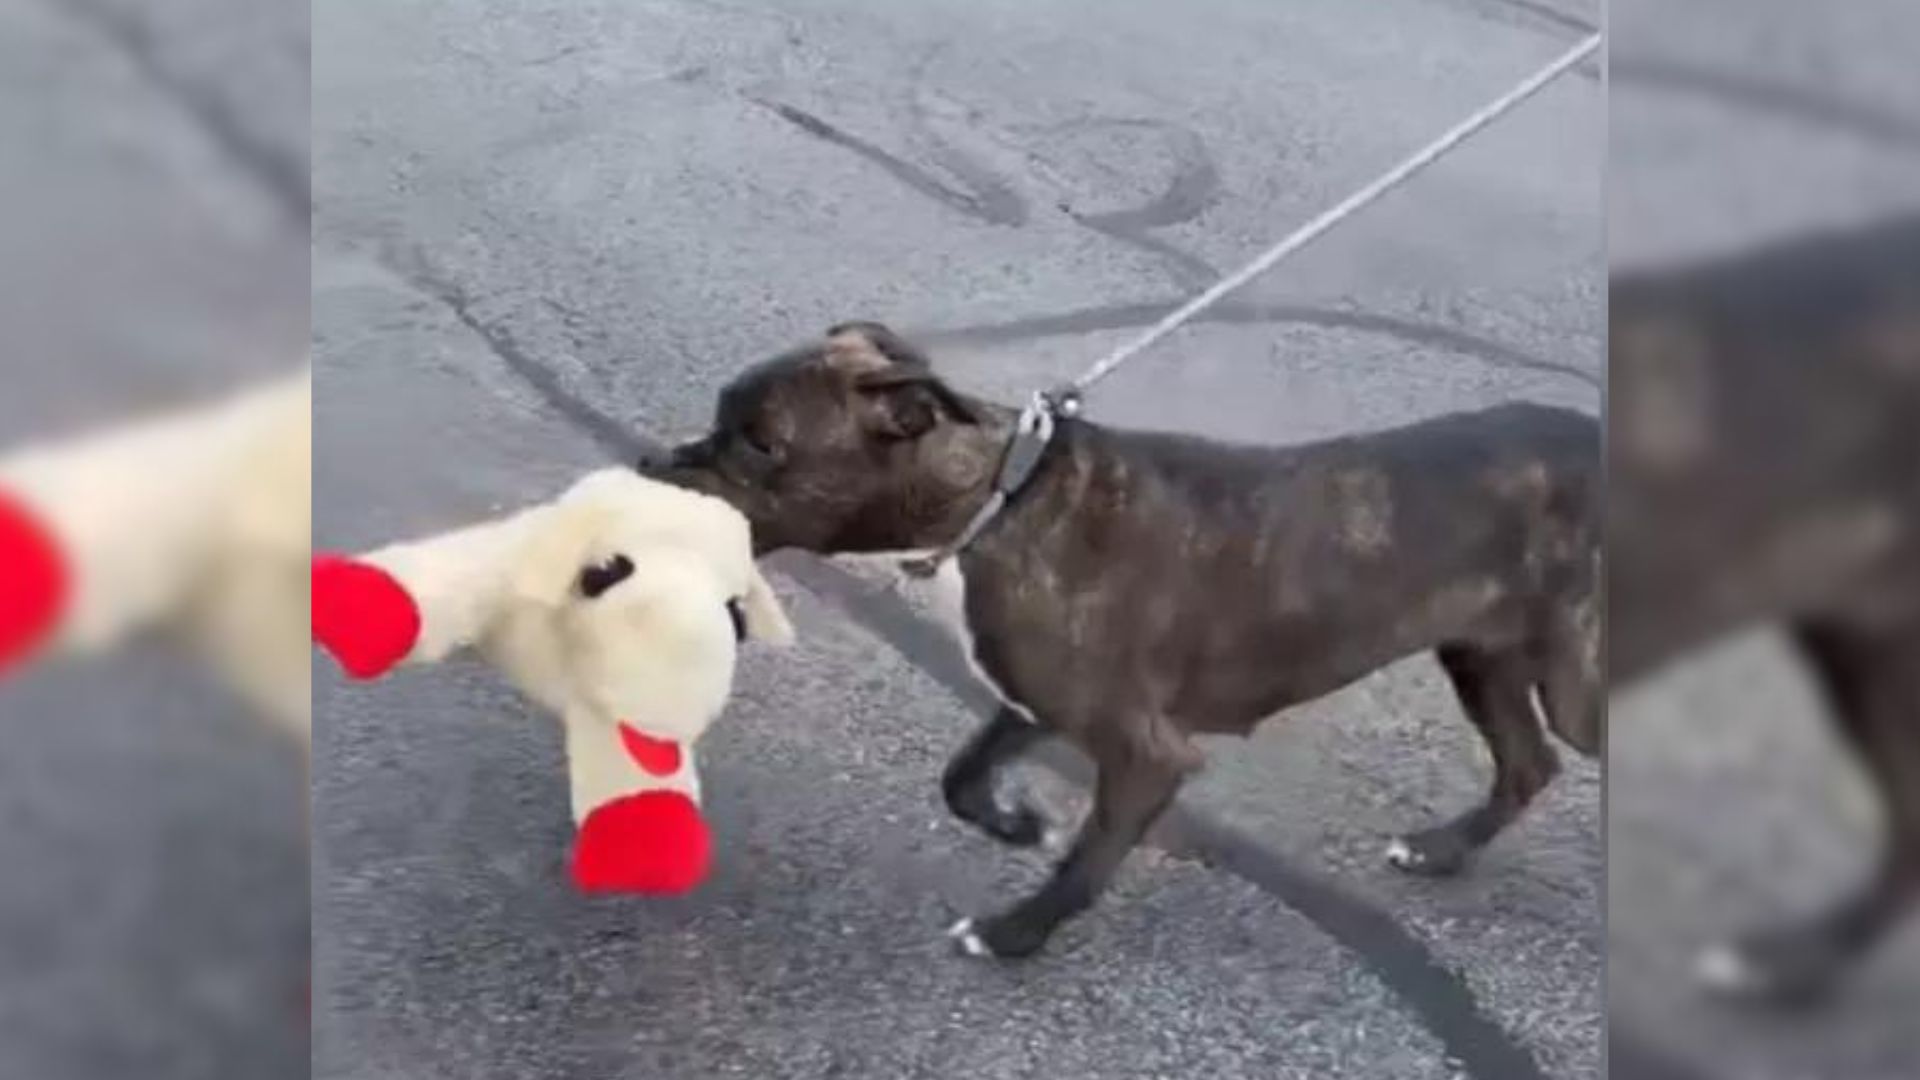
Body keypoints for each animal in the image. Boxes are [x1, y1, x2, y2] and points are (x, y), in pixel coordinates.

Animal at [645, 320, 1605, 957]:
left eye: (762, 444)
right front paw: (1015, 824)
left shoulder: (1147, 754)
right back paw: (1443, 851)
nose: (657, 465)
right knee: (1528, 764)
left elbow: (1085, 865)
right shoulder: (1032, 700)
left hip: (1568, 680)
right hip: (1481, 656)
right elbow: (961, 776)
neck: (999, 500)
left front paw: (1014, 935)